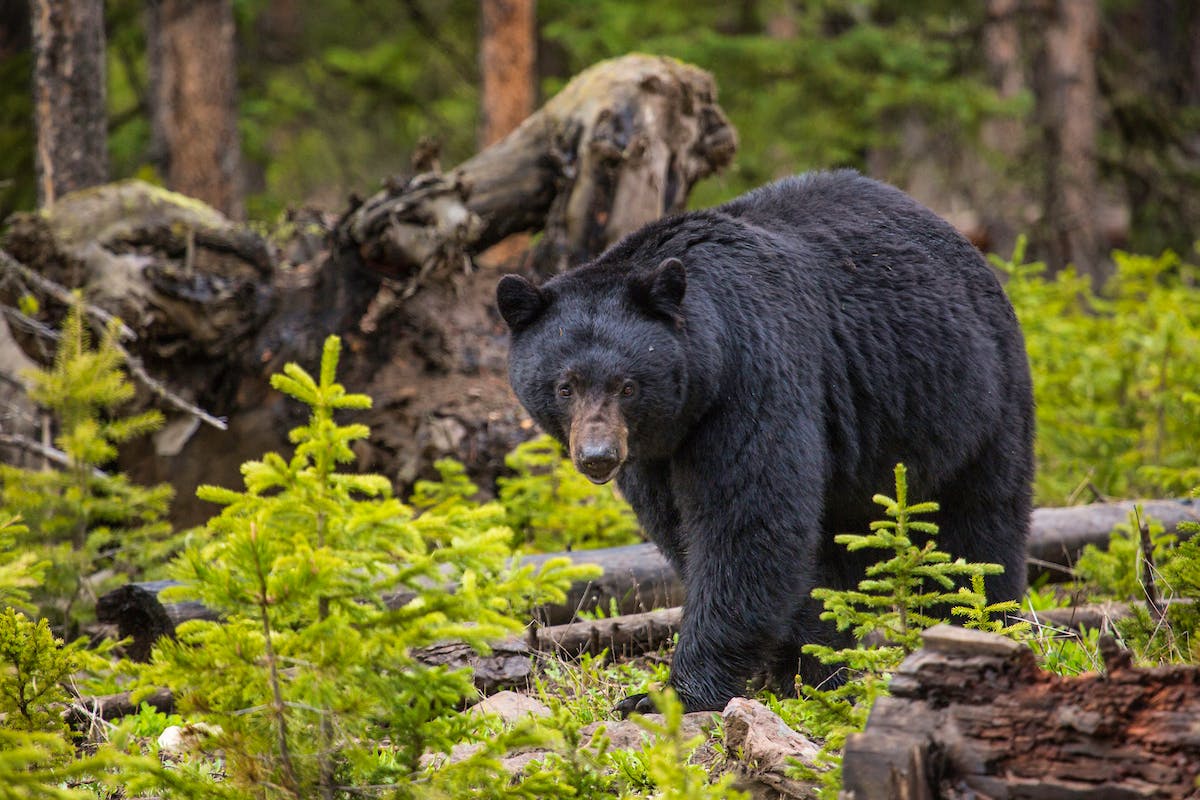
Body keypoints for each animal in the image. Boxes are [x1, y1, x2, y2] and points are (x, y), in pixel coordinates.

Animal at [496, 169, 1034, 714]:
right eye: (565, 386)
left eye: (627, 385)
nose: (598, 457)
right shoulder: (655, 452)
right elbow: (683, 528)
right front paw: (804, 664)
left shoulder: (755, 374)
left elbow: (749, 522)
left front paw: (672, 694)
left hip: (972, 401)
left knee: (978, 527)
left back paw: (978, 625)